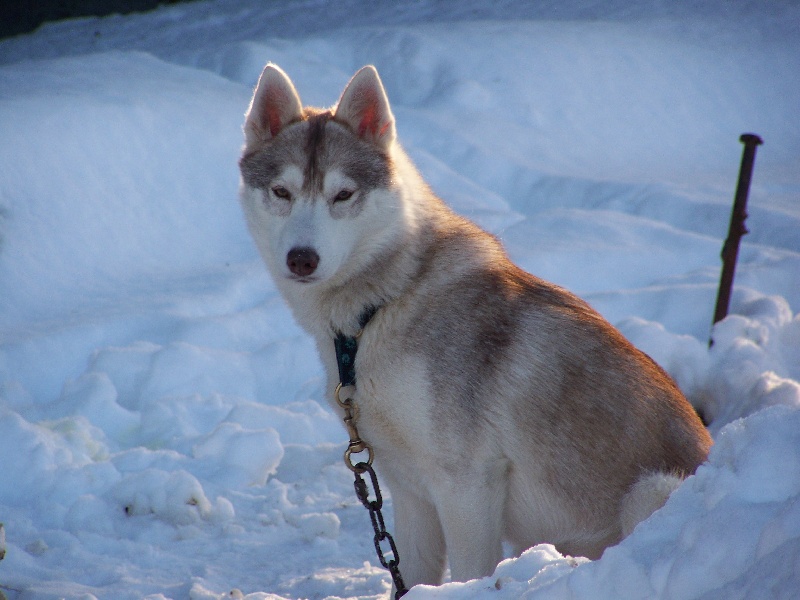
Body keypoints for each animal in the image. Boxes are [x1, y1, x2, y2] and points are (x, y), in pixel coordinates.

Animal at [238, 63, 712, 588]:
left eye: (342, 195)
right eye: (281, 192)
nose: (301, 258)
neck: (383, 304)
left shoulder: (467, 483)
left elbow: (467, 571)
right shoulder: (409, 490)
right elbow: (411, 572)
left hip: (650, 492)